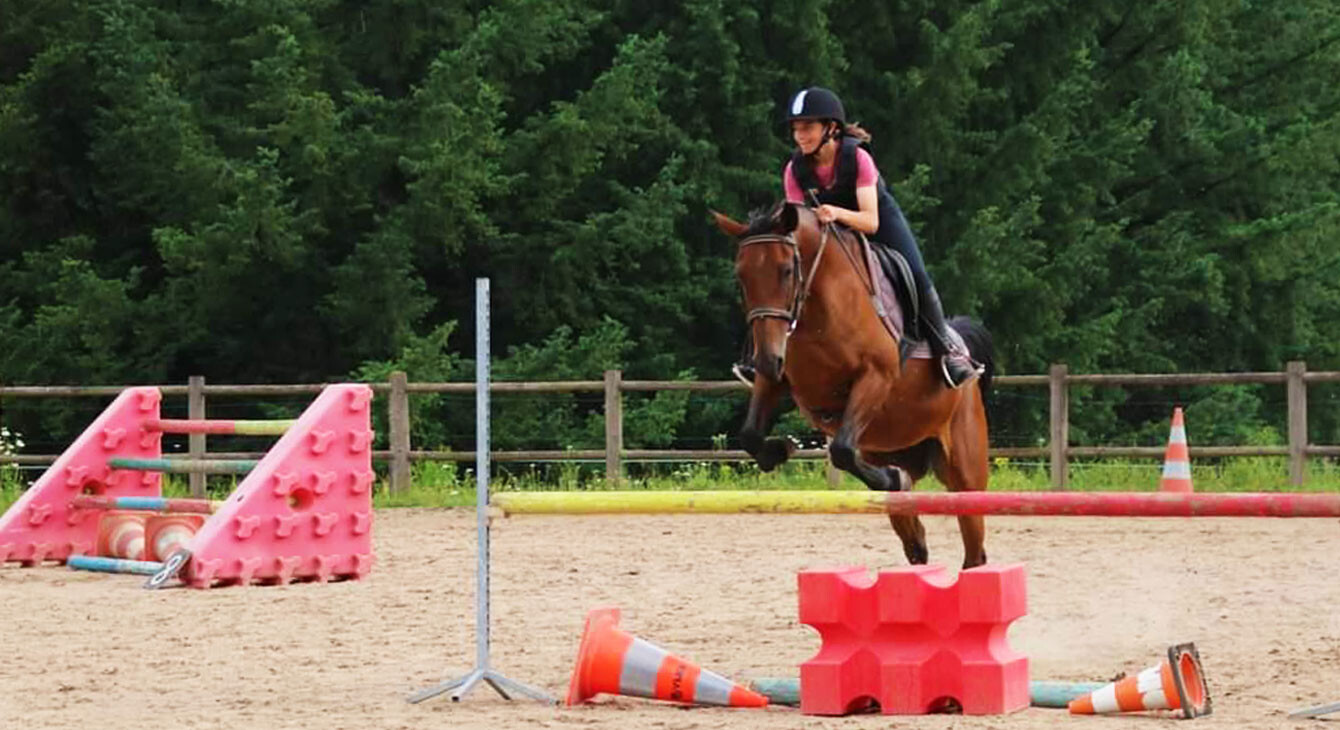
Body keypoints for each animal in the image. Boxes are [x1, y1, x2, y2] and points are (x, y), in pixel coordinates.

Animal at [712, 200, 996, 567]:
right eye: (742, 276)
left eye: (787, 270)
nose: (764, 359)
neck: (816, 310)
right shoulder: (775, 378)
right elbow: (750, 434)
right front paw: (781, 448)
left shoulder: (875, 377)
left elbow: (842, 450)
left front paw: (888, 477)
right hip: (897, 448)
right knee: (911, 529)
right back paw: (913, 529)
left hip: (964, 469)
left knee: (973, 544)